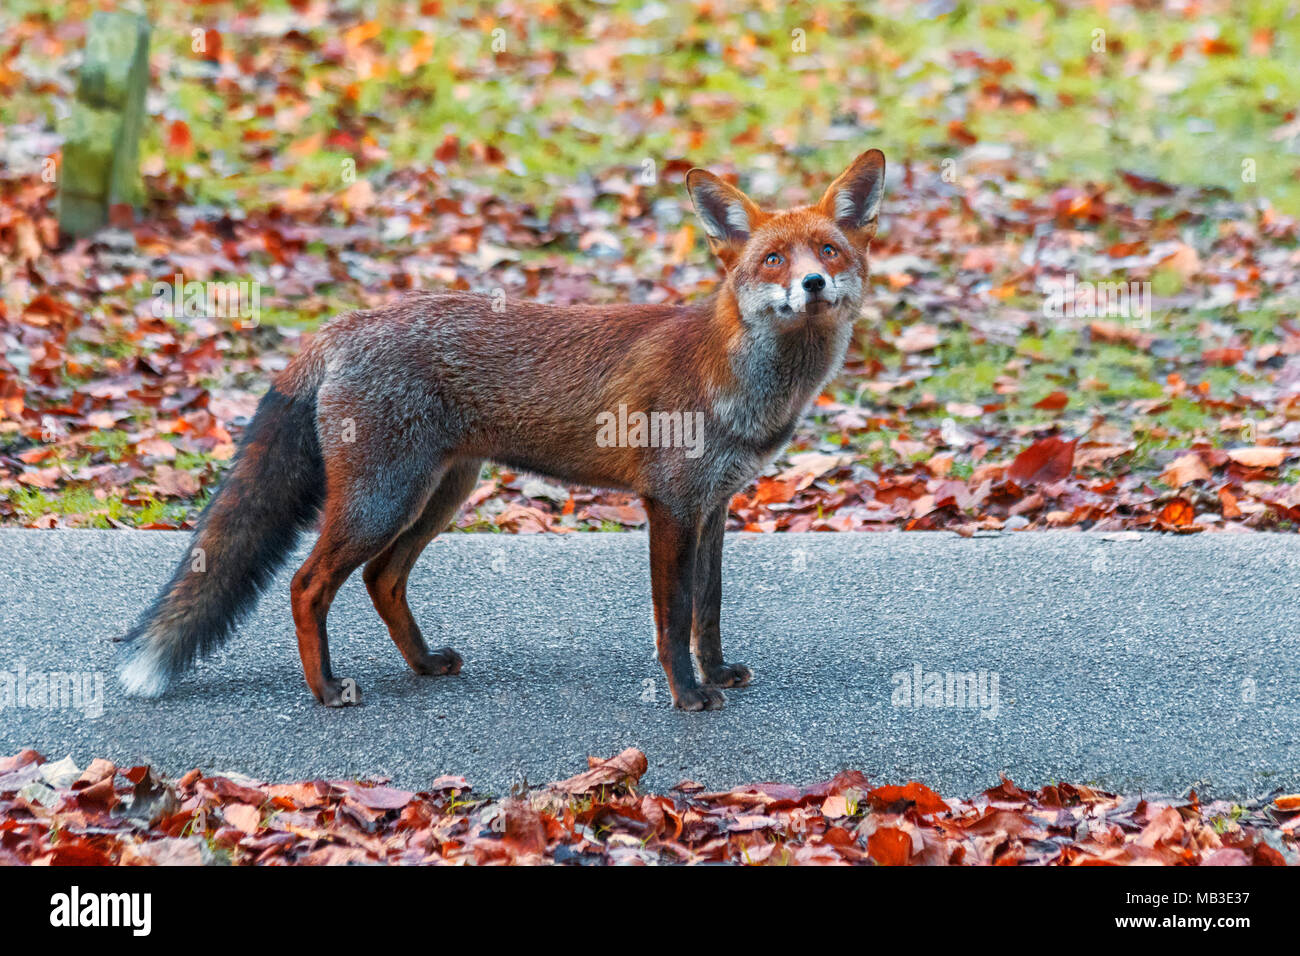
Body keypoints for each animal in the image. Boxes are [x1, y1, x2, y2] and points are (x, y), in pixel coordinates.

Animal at [119, 149, 883, 712]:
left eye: (828, 250)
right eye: (773, 260)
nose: (812, 284)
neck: (737, 377)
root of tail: (341, 325)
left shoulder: (714, 506)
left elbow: (709, 610)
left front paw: (716, 673)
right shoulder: (668, 505)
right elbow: (673, 617)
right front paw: (688, 696)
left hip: (440, 494)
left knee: (380, 579)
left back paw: (425, 663)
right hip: (382, 500)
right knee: (309, 585)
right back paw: (326, 689)